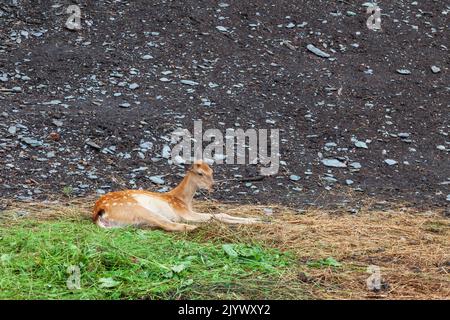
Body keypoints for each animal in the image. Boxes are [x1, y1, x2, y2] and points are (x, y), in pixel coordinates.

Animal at [92, 161, 260, 231]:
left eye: (212, 171)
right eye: (200, 173)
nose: (213, 186)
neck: (184, 200)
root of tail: (99, 212)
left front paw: (256, 219)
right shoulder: (183, 212)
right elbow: (216, 215)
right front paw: (254, 221)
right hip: (135, 208)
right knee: (169, 224)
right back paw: (193, 228)